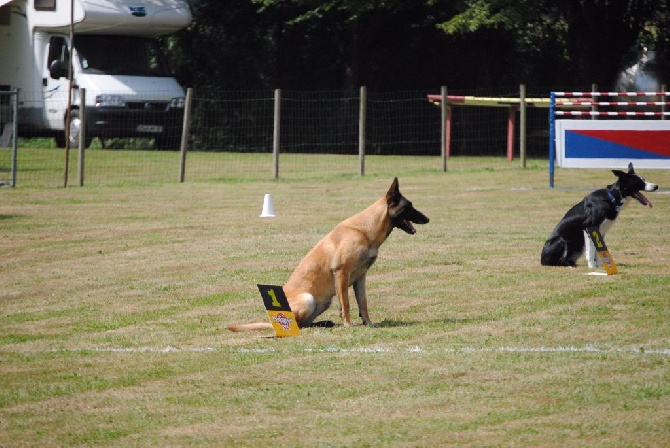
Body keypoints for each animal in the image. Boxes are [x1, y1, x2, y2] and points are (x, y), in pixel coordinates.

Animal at [230, 177, 430, 330]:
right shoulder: (341, 273)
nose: (428, 219)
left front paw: (368, 323)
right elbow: (347, 303)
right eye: (409, 206)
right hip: (308, 299)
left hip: (324, 302)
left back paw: (325, 323)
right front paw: (348, 324)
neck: (365, 230)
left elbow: (363, 302)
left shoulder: (360, 277)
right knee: (298, 324)